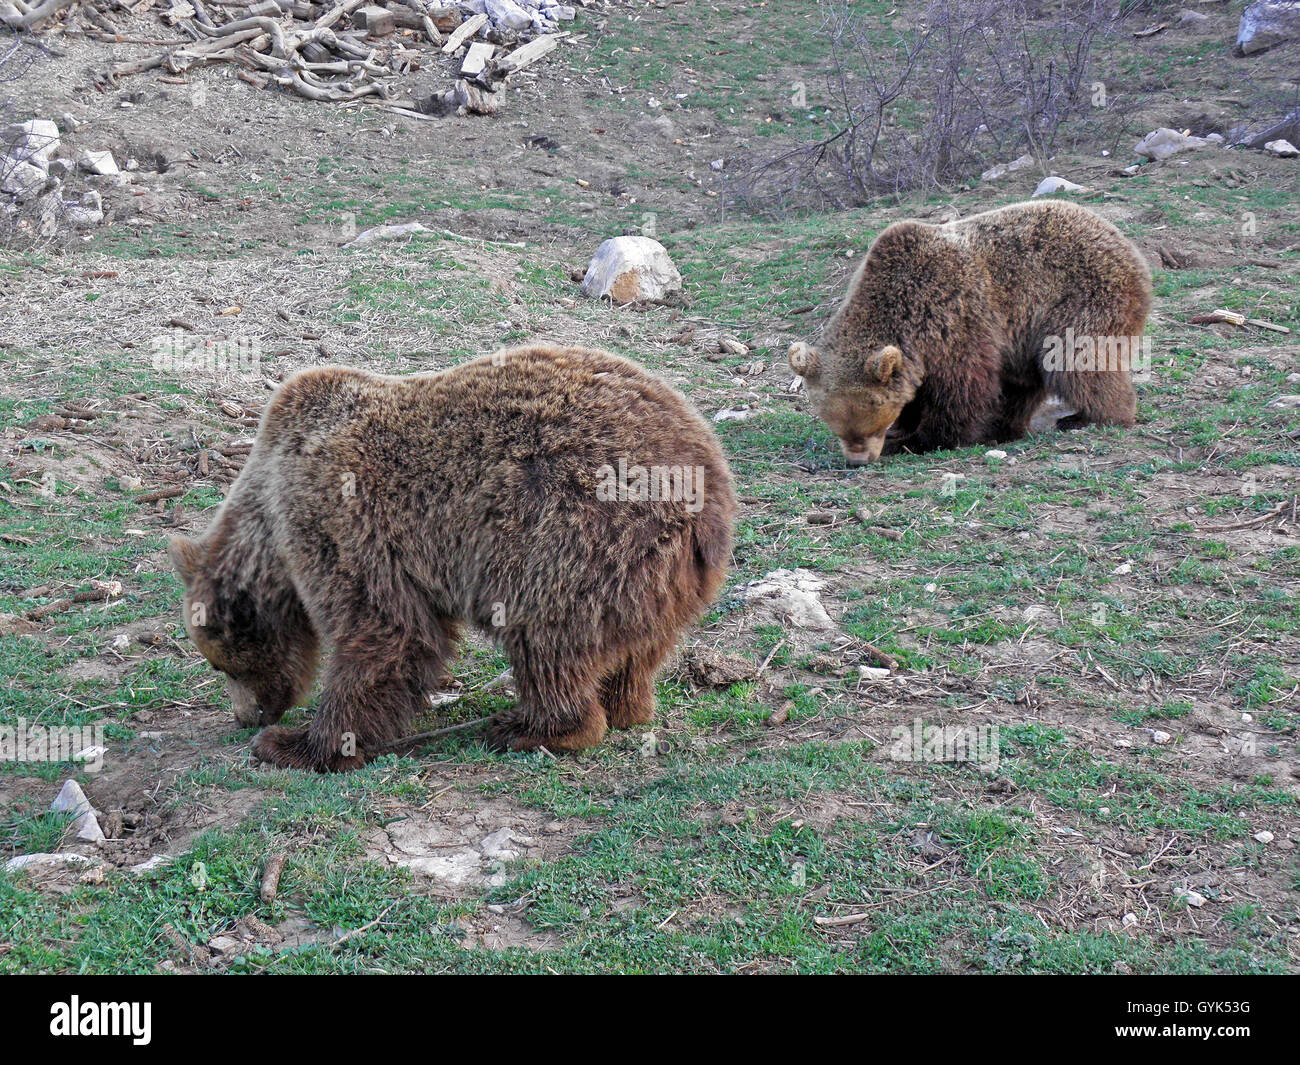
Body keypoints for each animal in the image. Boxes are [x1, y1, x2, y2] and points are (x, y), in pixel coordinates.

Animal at [169, 345, 738, 769]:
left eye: (221, 664)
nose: (249, 718)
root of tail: (707, 485)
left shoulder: (339, 515)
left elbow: (383, 630)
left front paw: (300, 745)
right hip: (658, 575)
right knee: (639, 648)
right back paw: (626, 706)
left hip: (573, 532)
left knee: (545, 633)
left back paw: (533, 727)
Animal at [785, 201, 1154, 465]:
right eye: (836, 425)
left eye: (872, 425)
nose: (857, 460)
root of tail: (1125, 243)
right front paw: (906, 428)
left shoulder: (952, 317)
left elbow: (960, 390)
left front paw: (917, 440)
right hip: (1026, 330)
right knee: (1024, 381)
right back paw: (1004, 428)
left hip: (1079, 297)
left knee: (1076, 359)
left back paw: (1090, 417)